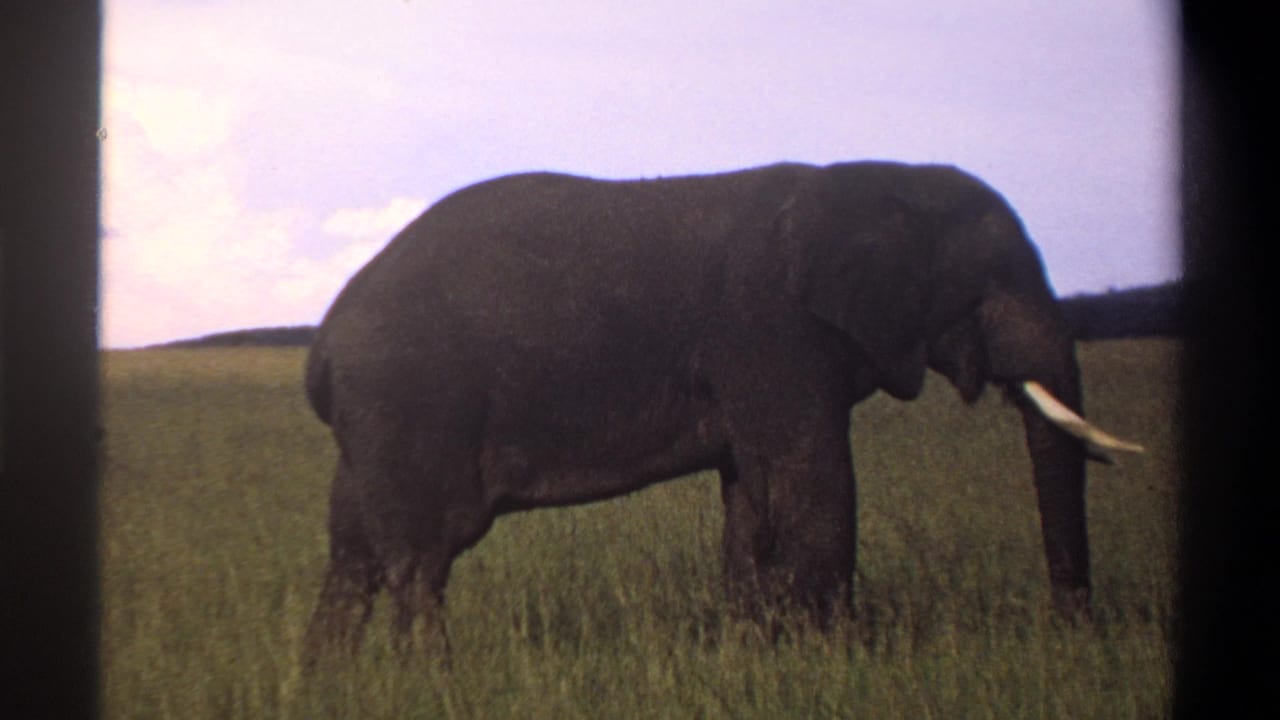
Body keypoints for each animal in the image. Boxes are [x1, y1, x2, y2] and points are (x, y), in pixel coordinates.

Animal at [300, 160, 1141, 662]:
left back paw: (333, 681)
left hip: (371, 429)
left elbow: (752, 503)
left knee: (352, 560)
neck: (872, 179)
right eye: (996, 279)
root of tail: (325, 341)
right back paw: (430, 680)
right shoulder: (773, 331)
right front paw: (835, 663)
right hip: (407, 406)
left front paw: (756, 653)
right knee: (419, 563)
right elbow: (816, 487)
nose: (1071, 635)